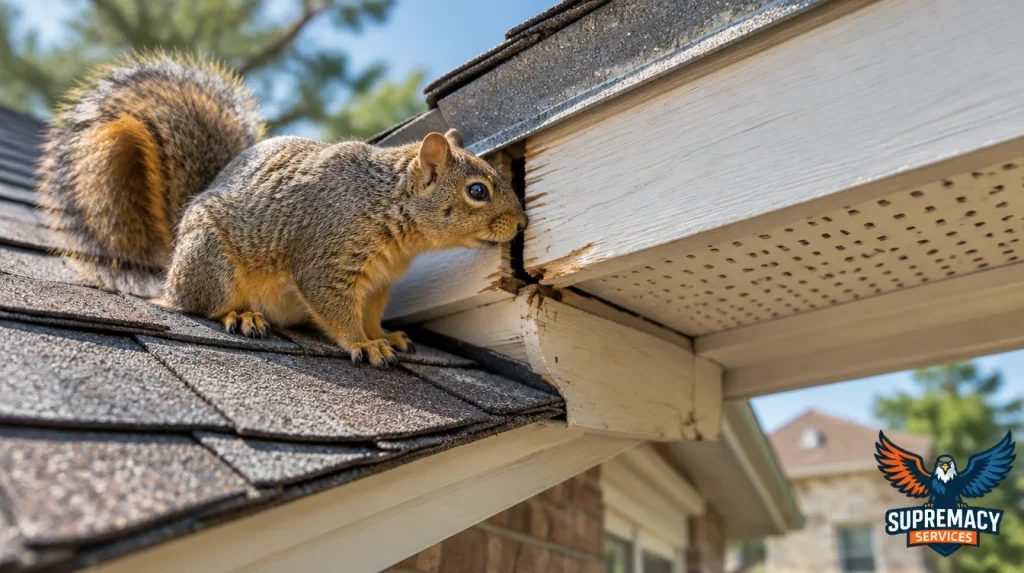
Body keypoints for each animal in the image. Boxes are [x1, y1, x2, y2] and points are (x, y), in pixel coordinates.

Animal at [38, 52, 528, 368]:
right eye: (477, 190)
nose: (522, 222)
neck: (384, 206)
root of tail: (173, 257)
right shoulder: (325, 258)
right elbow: (337, 310)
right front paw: (363, 345)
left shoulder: (378, 284)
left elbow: (369, 313)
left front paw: (383, 335)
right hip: (211, 262)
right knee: (198, 305)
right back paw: (239, 316)